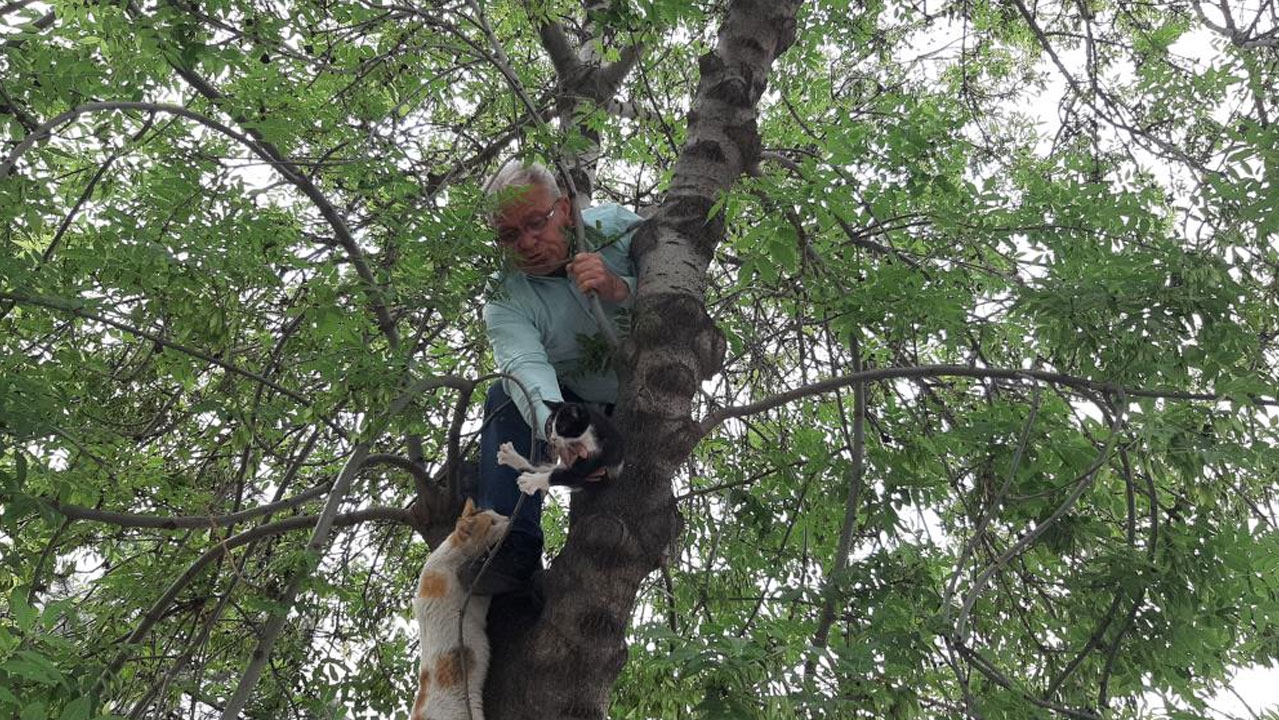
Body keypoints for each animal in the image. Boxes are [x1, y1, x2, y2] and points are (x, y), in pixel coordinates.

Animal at [493, 399, 624, 496]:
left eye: (562, 427)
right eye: (550, 425)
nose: (552, 438)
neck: (586, 435)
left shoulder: (603, 453)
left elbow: (566, 475)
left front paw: (531, 481)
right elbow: (541, 467)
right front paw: (513, 458)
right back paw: (511, 456)